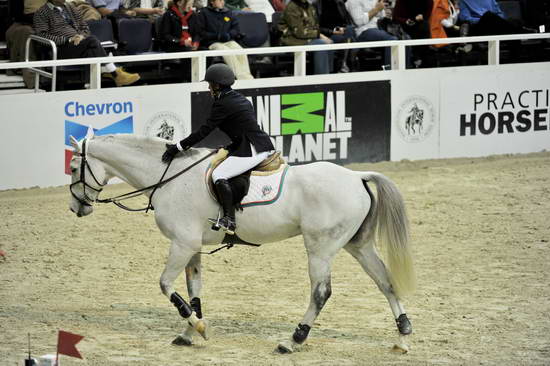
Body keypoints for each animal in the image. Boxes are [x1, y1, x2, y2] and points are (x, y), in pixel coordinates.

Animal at [67, 133, 416, 354]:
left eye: (72, 167)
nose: (76, 209)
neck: (169, 176)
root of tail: (356, 176)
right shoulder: (192, 246)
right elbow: (194, 293)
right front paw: (192, 330)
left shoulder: (181, 243)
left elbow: (166, 285)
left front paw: (198, 328)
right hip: (358, 245)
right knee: (385, 281)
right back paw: (402, 336)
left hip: (321, 248)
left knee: (321, 293)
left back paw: (293, 340)